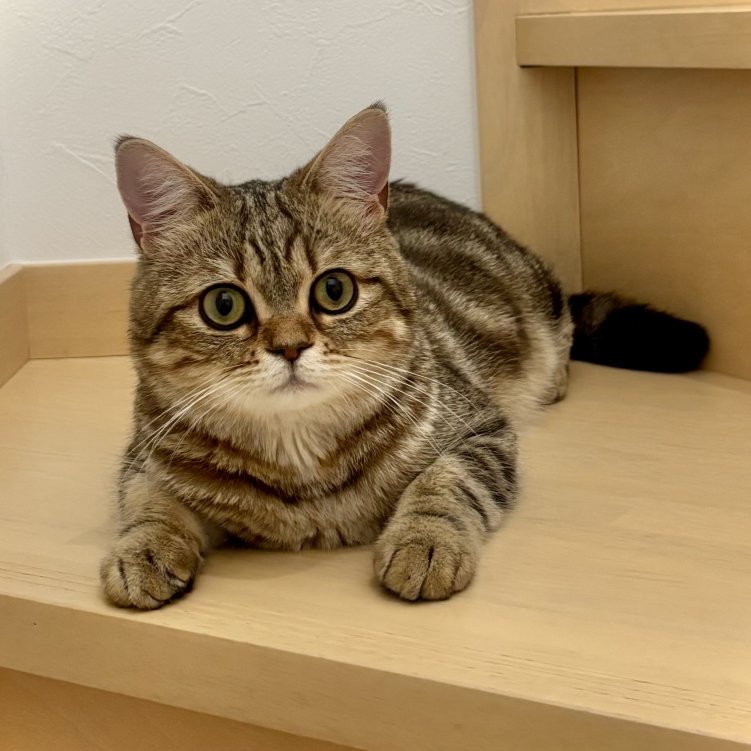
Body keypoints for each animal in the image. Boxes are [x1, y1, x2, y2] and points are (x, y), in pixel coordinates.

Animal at [100, 103, 708, 609]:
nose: (290, 346)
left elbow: (445, 484)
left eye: (334, 291)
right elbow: (144, 500)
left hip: (539, 301)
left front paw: (425, 543)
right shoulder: (144, 453)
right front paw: (141, 551)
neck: (301, 464)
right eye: (223, 305)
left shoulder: (481, 429)